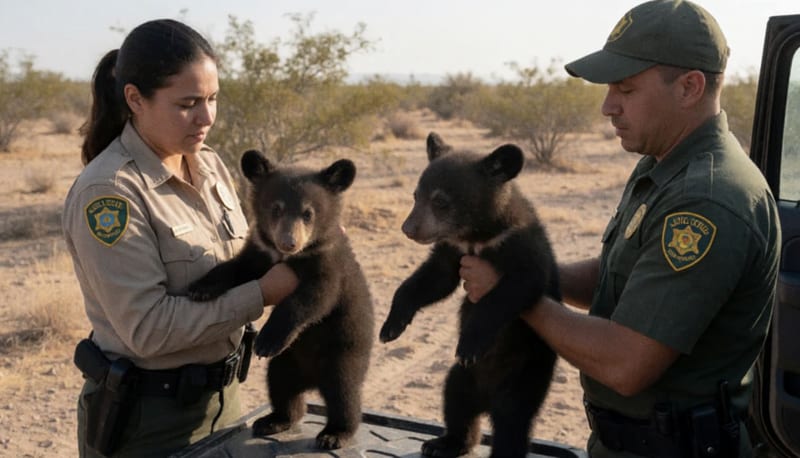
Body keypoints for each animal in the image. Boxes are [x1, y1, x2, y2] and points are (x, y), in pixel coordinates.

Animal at [187, 149, 374, 450]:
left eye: (308, 214)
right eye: (276, 209)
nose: (289, 242)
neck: (288, 258)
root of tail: (311, 380)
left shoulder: (328, 264)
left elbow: (312, 299)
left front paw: (266, 340)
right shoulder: (261, 252)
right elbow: (236, 268)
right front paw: (199, 289)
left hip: (344, 354)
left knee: (343, 393)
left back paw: (334, 434)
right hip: (287, 363)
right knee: (282, 387)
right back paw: (274, 420)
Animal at [379, 132, 559, 458]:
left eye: (440, 201)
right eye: (416, 196)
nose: (408, 228)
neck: (477, 235)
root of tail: (486, 398)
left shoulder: (520, 245)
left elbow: (515, 289)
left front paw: (469, 346)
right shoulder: (454, 250)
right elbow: (432, 279)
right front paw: (390, 327)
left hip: (525, 375)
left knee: (513, 422)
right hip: (462, 380)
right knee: (456, 403)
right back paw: (444, 443)